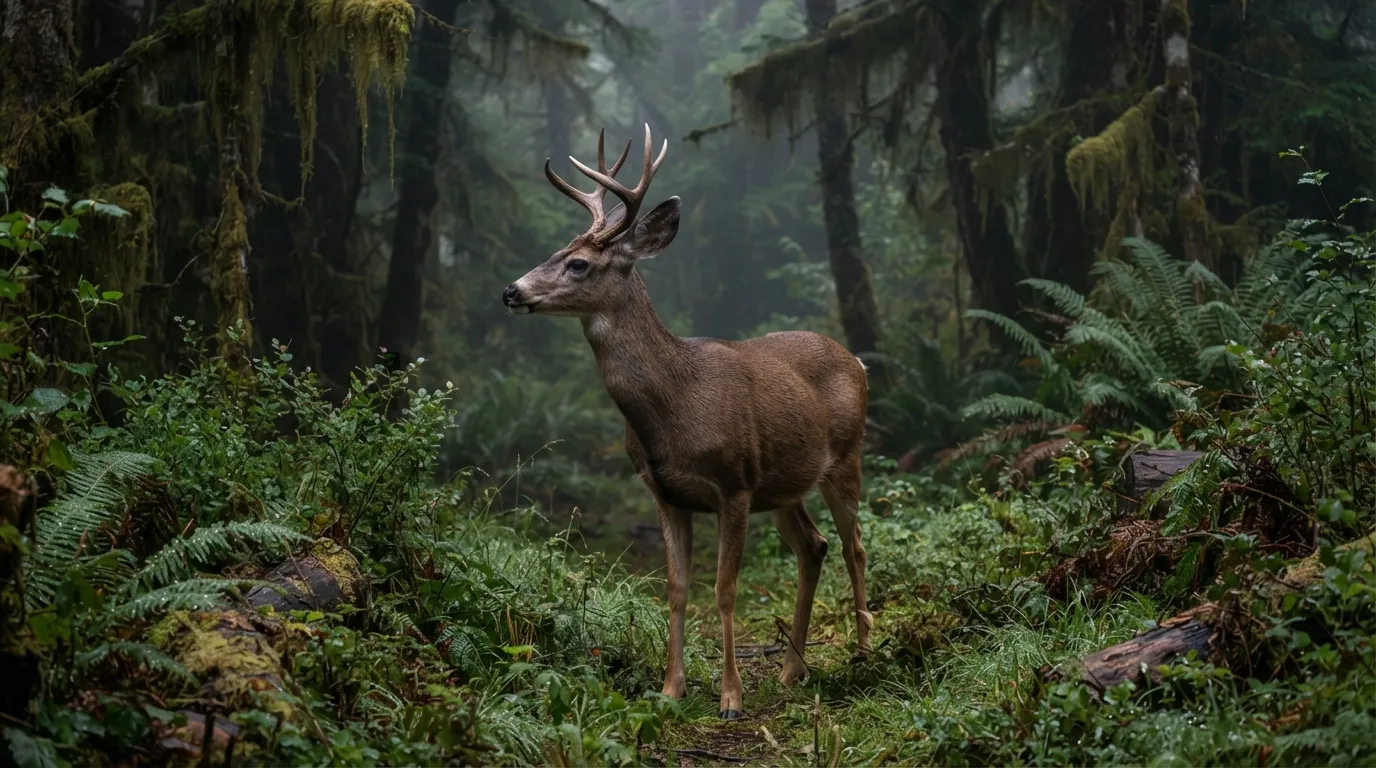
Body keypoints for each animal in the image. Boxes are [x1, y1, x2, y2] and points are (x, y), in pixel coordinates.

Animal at [502, 125, 872, 720]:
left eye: (578, 263)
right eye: (555, 251)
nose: (510, 291)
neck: (676, 403)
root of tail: (857, 361)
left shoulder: (734, 483)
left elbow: (724, 589)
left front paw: (731, 698)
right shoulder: (665, 491)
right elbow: (676, 589)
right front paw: (670, 689)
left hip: (846, 456)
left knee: (853, 545)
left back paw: (863, 651)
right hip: (784, 486)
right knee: (812, 547)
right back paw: (792, 669)